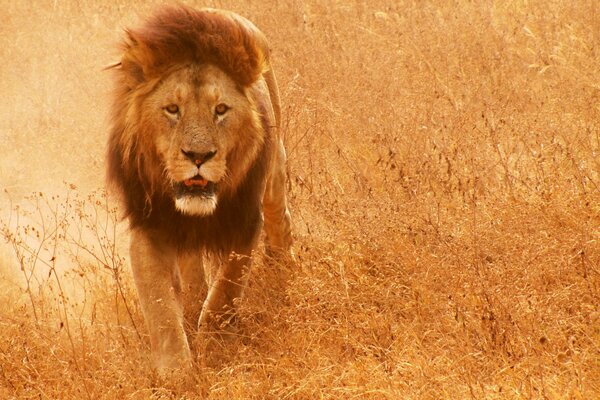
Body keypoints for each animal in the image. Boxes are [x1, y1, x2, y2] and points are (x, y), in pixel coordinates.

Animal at [108, 6, 296, 374]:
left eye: (220, 110)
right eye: (172, 109)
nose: (198, 156)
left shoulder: (244, 223)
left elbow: (225, 293)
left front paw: (216, 350)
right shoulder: (149, 227)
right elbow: (161, 307)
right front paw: (177, 373)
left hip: (275, 171)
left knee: (279, 217)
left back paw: (283, 269)